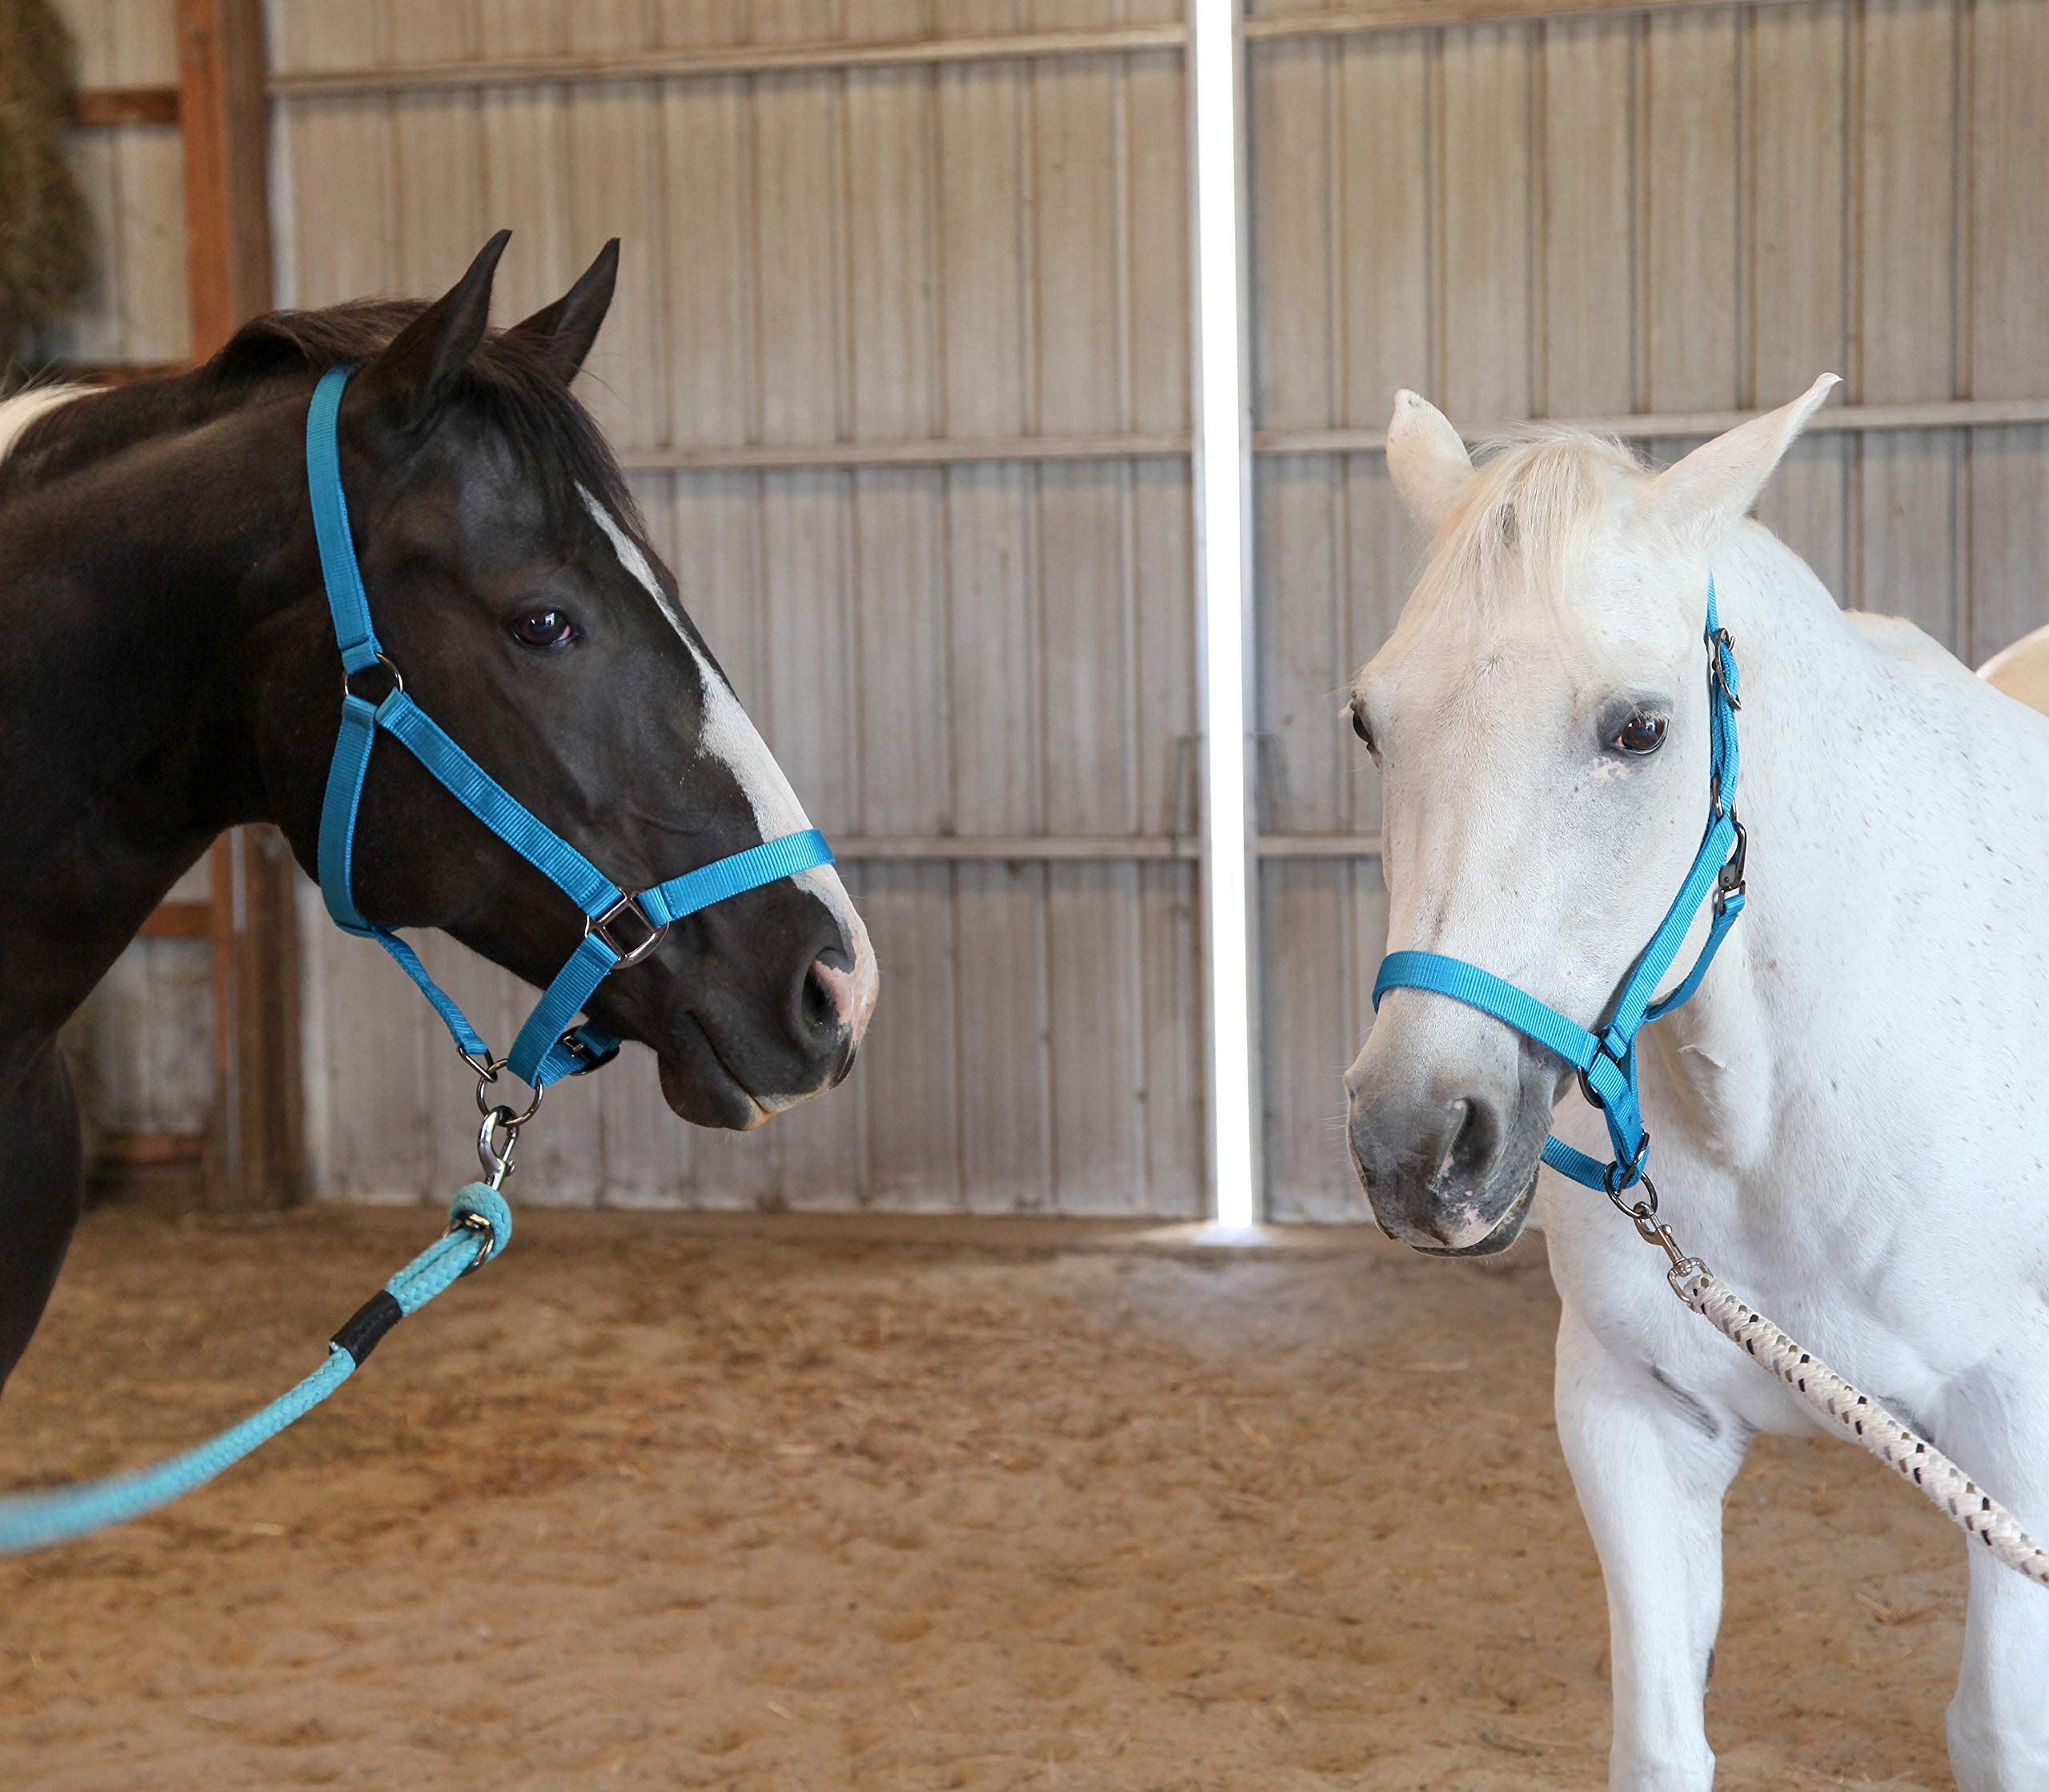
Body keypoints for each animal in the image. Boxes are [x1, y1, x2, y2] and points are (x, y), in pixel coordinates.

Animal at [1343, 377, 2049, 1791]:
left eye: (1640, 727)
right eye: (1370, 722)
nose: (1417, 1144)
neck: (1772, 1114)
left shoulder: (2018, 1430)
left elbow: (2000, 1727)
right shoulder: (1634, 1418)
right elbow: (1660, 1742)